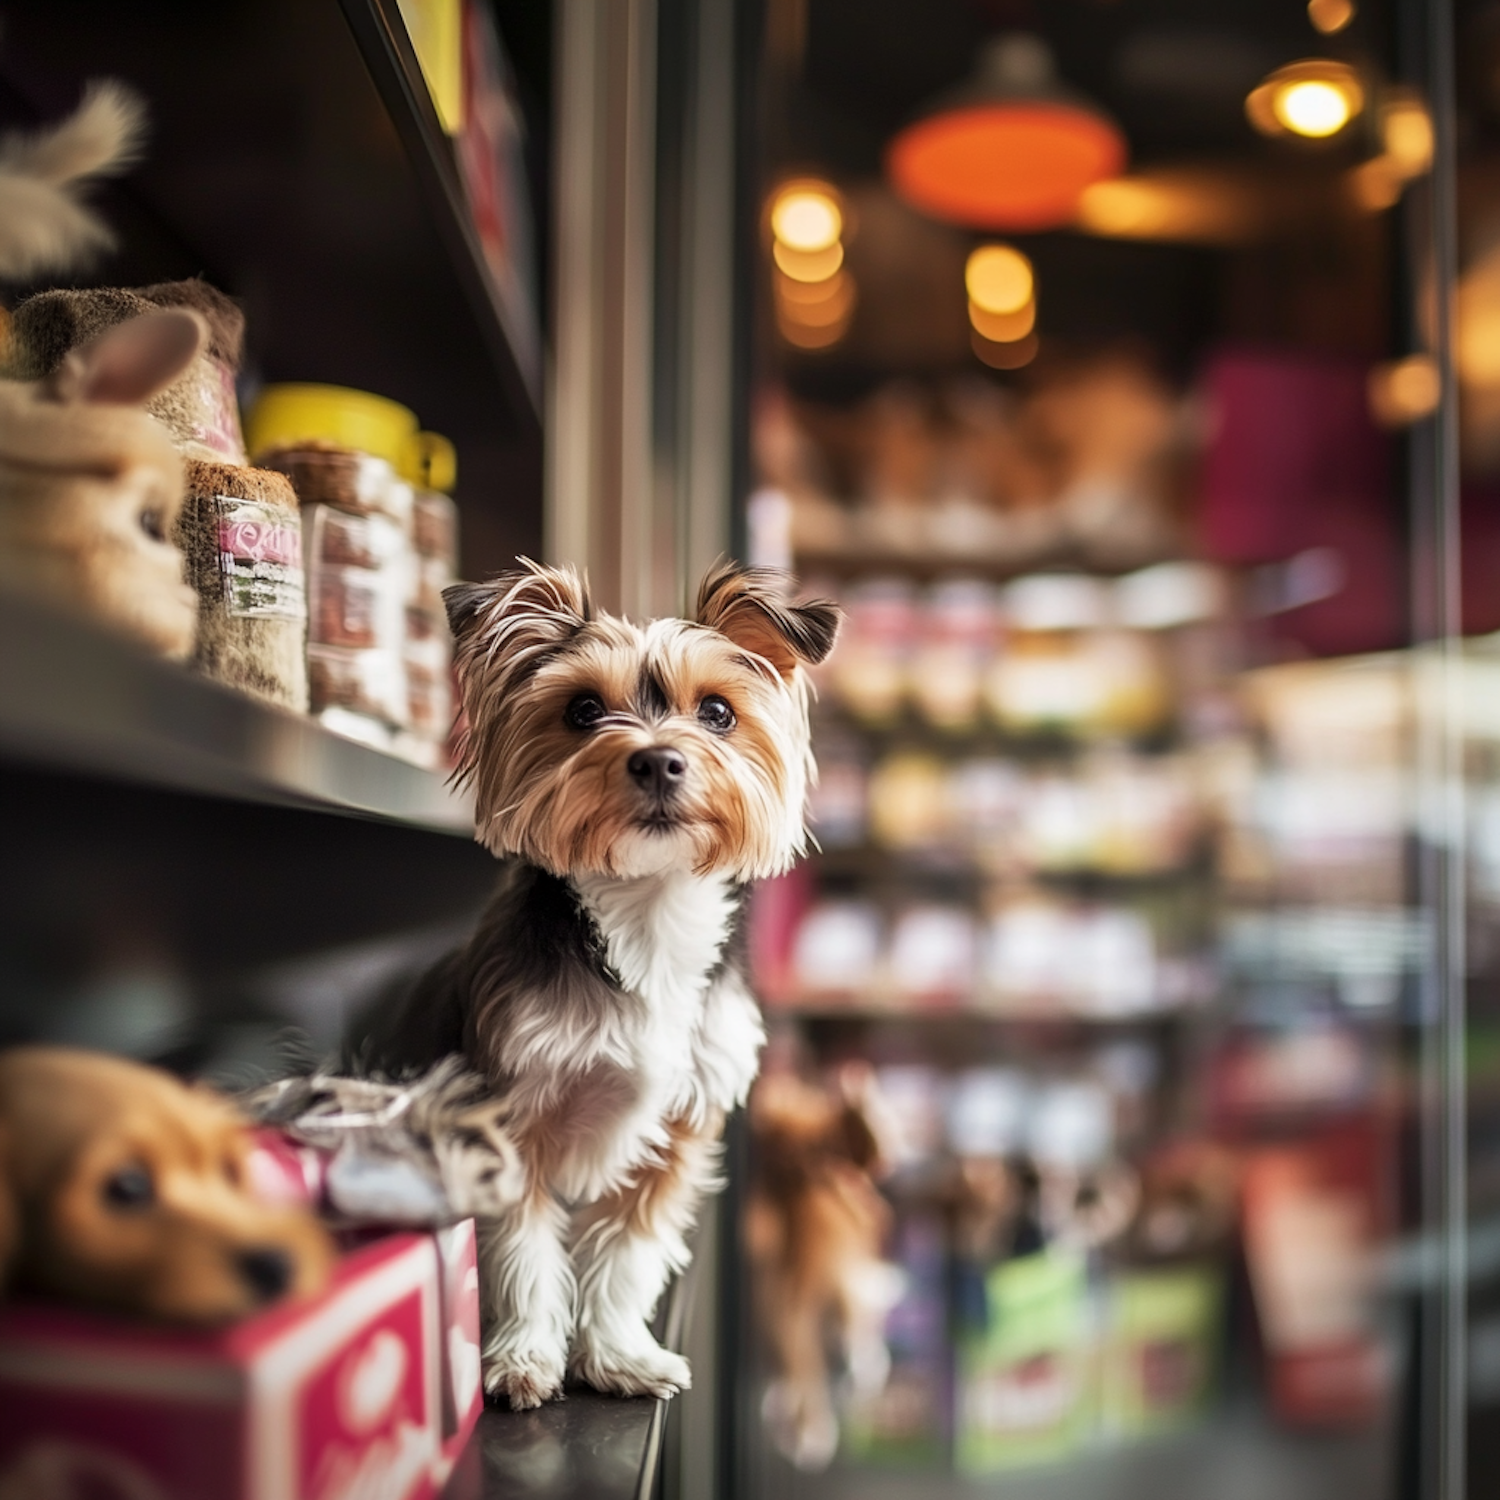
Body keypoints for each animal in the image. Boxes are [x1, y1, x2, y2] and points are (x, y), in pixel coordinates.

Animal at [357, 561, 840, 1404]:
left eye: (717, 712)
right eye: (583, 710)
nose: (657, 760)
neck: (647, 917)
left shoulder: (681, 1126)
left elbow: (628, 1254)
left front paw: (618, 1355)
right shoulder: (510, 1110)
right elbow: (521, 1251)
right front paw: (523, 1357)